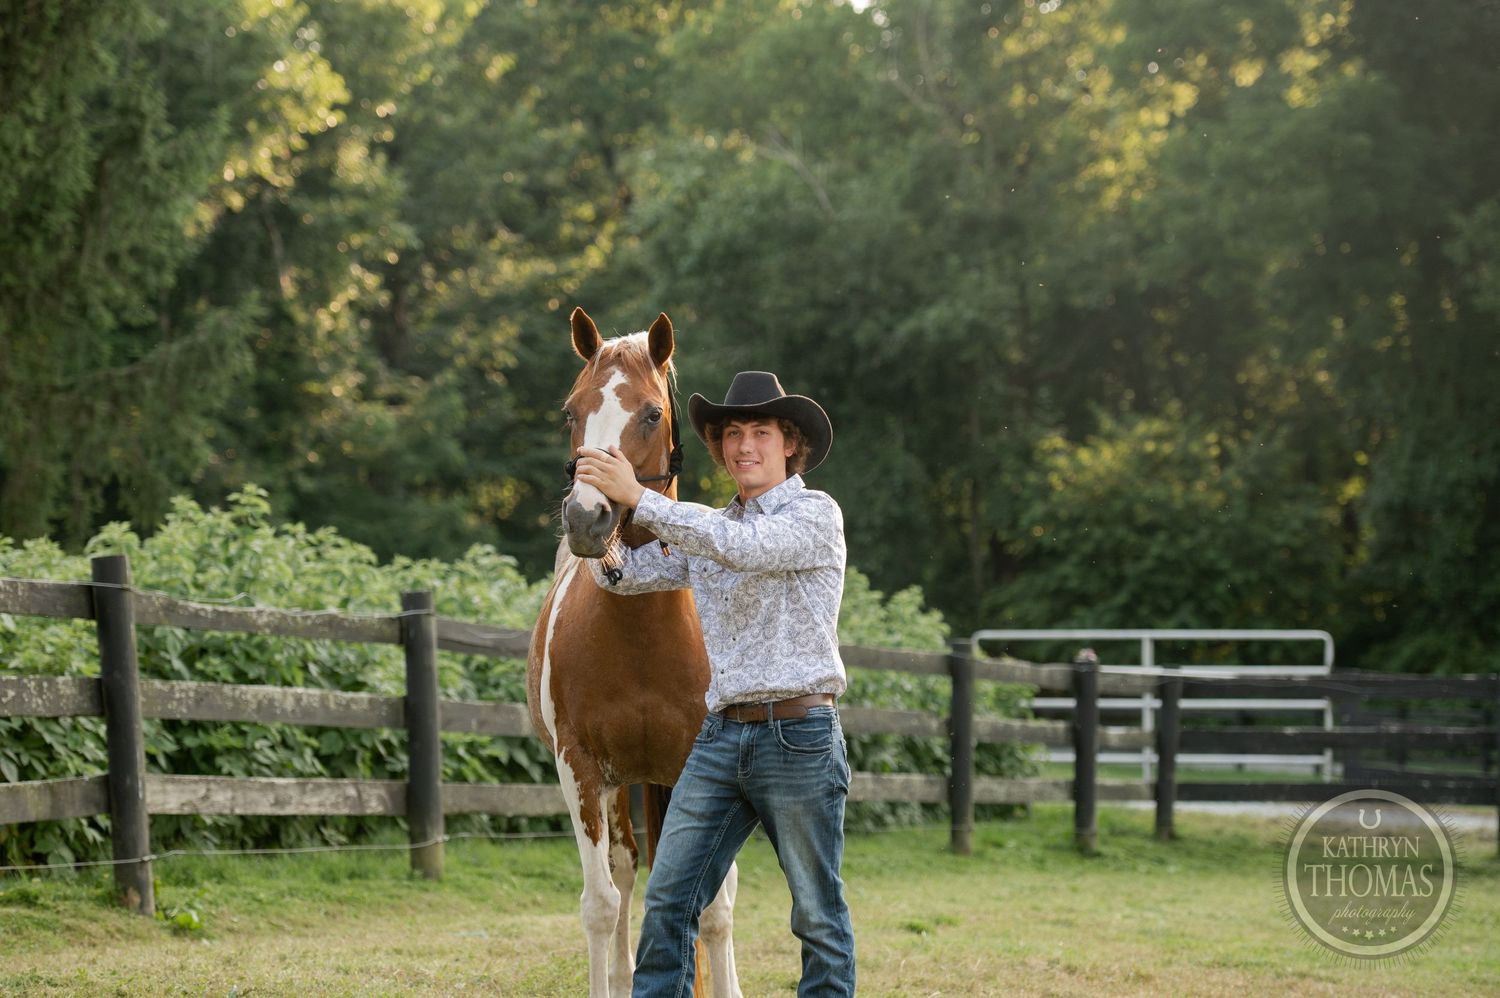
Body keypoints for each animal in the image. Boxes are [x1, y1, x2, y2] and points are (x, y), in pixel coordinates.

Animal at [526, 307, 741, 998]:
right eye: (571, 411)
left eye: (649, 413)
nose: (586, 517)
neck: (643, 636)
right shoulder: (582, 769)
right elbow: (601, 904)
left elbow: (714, 909)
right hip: (623, 786)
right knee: (624, 873)